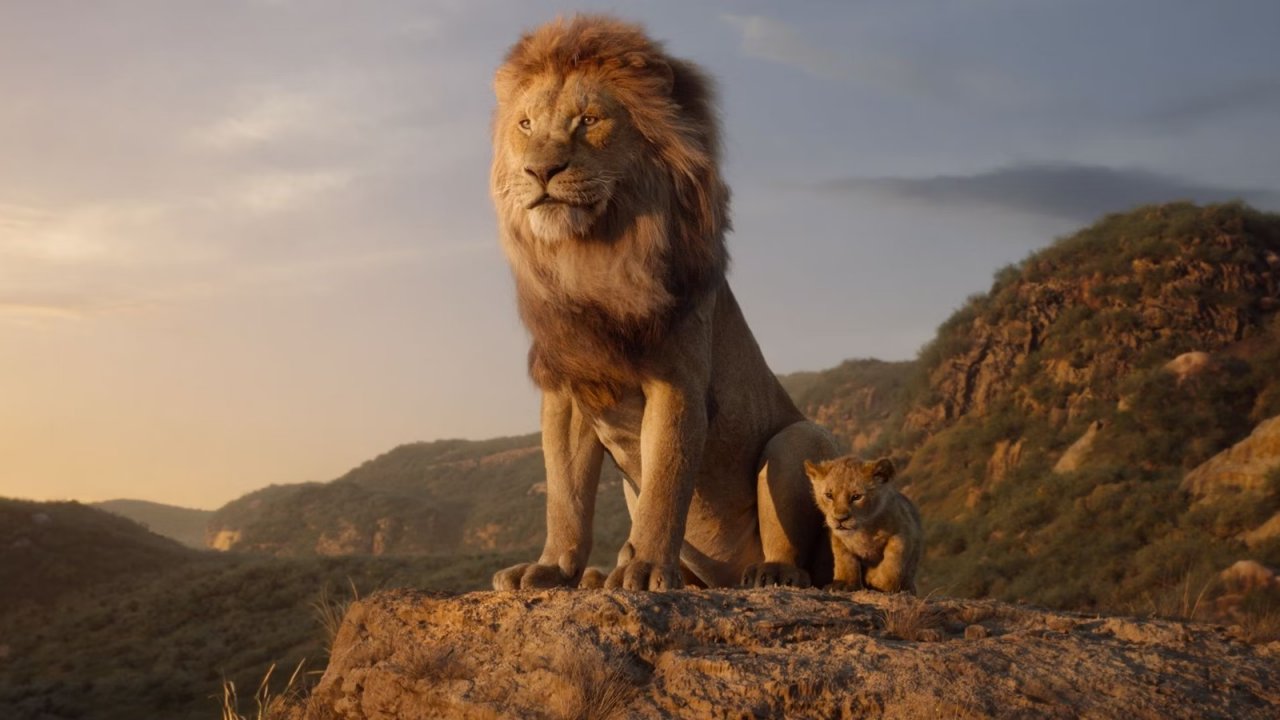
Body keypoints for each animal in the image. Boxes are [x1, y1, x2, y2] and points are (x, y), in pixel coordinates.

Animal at [488, 15, 840, 591]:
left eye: (589, 120)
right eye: (525, 125)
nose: (540, 171)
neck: (593, 257)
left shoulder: (677, 381)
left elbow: (665, 484)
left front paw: (647, 568)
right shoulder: (568, 388)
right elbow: (565, 495)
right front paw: (552, 568)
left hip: (798, 439)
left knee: (800, 556)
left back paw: (770, 573)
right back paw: (601, 575)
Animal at [804, 456, 923, 594]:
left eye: (856, 497)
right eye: (829, 495)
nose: (840, 519)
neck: (863, 530)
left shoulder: (903, 532)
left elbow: (892, 562)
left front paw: (876, 580)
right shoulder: (839, 539)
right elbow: (844, 560)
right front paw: (843, 583)